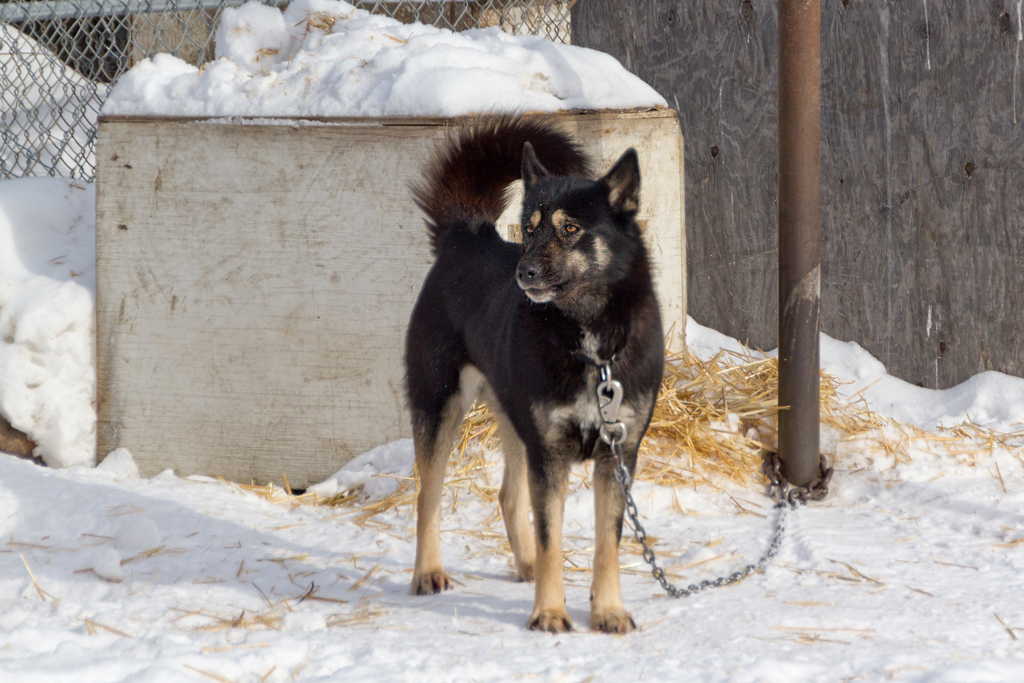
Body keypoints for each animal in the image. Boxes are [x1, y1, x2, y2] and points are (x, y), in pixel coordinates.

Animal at [399, 114, 663, 634]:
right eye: (528, 227)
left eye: (571, 228)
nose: (525, 273)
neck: (589, 343)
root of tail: (466, 235)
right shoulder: (551, 454)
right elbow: (551, 540)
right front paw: (550, 613)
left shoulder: (615, 456)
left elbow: (607, 544)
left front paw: (607, 611)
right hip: (439, 405)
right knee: (427, 497)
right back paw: (428, 572)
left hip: (515, 421)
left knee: (507, 495)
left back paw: (523, 565)